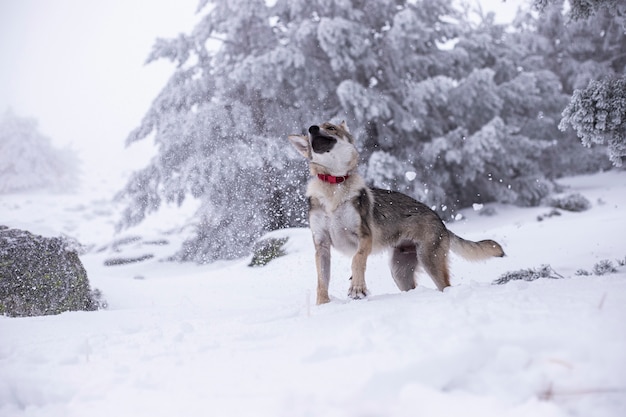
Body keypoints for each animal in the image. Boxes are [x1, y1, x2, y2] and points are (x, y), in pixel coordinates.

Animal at [288, 120, 502, 302]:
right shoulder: (321, 245)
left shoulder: (364, 236)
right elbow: (322, 281)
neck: (333, 187)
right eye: (309, 132)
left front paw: (357, 289)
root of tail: (440, 221)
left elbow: (357, 260)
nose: (312, 128)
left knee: (446, 286)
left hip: (429, 262)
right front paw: (322, 305)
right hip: (400, 273)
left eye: (330, 127)